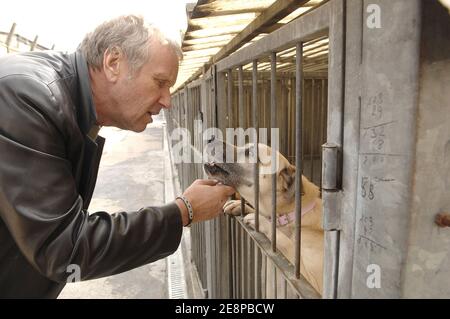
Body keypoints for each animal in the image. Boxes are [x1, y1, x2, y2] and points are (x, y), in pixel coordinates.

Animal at [204, 139, 324, 296]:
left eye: (249, 152)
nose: (210, 139)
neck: (289, 216)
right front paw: (239, 205)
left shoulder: (311, 283)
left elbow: (287, 245)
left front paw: (261, 222)